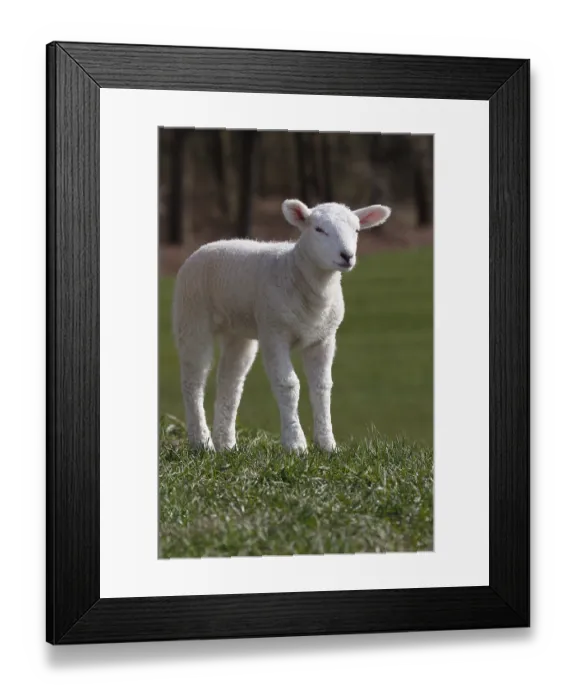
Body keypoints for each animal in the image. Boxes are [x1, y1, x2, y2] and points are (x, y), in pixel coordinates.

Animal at [172, 198, 392, 453]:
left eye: (356, 230)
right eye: (319, 229)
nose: (347, 256)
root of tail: (207, 245)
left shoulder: (324, 338)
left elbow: (322, 387)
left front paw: (327, 444)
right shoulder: (274, 333)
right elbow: (288, 385)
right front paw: (295, 444)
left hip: (238, 331)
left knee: (230, 381)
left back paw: (226, 444)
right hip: (192, 316)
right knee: (193, 381)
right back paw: (202, 442)